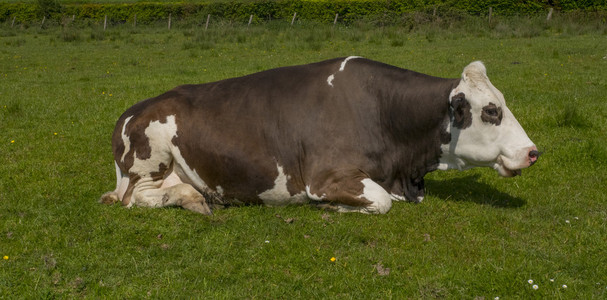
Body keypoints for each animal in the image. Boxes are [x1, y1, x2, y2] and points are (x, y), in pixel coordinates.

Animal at [101, 56, 540, 213]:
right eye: (492, 110)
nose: (533, 152)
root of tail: (132, 110)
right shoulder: (326, 177)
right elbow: (381, 202)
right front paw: (336, 209)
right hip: (150, 158)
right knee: (136, 199)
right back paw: (193, 199)